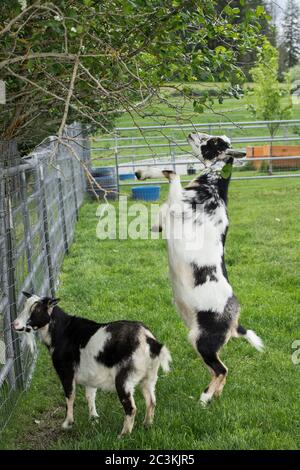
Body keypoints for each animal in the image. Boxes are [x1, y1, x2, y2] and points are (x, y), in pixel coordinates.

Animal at [12, 294, 171, 436]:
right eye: (25, 306)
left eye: (37, 310)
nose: (15, 324)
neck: (62, 332)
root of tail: (149, 340)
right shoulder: (91, 375)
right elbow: (90, 395)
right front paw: (94, 418)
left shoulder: (66, 372)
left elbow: (70, 396)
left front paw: (67, 423)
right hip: (149, 377)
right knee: (151, 401)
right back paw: (147, 425)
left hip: (125, 379)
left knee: (131, 408)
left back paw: (123, 435)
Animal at [135, 133, 264, 408]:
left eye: (213, 142)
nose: (192, 134)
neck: (211, 189)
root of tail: (234, 321)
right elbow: (168, 176)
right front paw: (142, 172)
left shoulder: (175, 205)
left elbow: (172, 172)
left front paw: (143, 172)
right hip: (206, 346)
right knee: (220, 371)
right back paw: (214, 395)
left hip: (202, 342)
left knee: (222, 370)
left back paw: (203, 399)